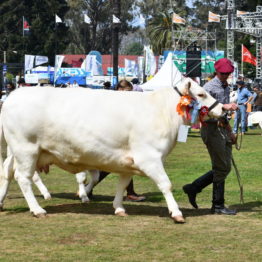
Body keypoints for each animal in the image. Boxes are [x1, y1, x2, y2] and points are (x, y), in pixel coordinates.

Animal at [0, 78, 223, 223]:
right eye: (201, 94)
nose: (223, 109)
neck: (162, 111)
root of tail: (13, 96)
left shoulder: (128, 161)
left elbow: (122, 185)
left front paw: (119, 208)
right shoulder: (149, 158)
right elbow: (166, 184)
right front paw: (176, 213)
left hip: (18, 152)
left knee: (6, 172)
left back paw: (1, 202)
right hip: (26, 149)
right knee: (23, 178)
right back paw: (37, 209)